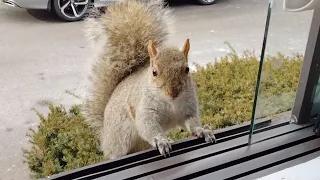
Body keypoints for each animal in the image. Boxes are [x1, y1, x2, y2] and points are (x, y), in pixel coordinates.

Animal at [84, 0, 216, 159]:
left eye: (187, 69)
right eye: (154, 72)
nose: (173, 92)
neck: (171, 102)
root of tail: (105, 134)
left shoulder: (188, 107)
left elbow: (191, 121)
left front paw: (202, 130)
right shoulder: (146, 108)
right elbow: (147, 125)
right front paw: (161, 141)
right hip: (120, 137)